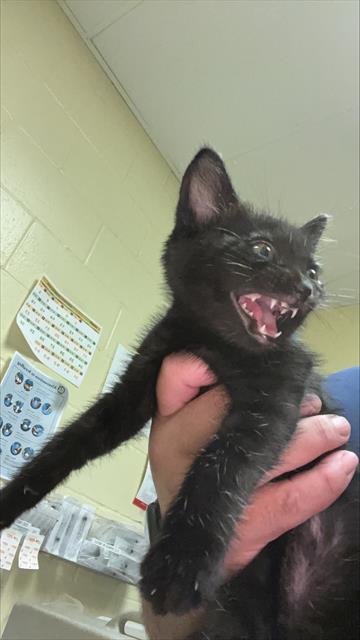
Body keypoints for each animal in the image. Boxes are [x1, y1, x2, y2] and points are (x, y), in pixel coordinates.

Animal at [0, 149, 358, 636]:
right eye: (262, 249)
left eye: (315, 270)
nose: (308, 289)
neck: (209, 339)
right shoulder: (139, 383)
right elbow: (75, 438)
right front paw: (9, 498)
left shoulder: (281, 388)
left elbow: (223, 463)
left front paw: (179, 565)